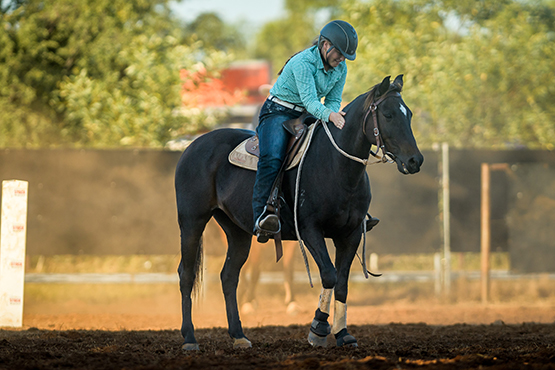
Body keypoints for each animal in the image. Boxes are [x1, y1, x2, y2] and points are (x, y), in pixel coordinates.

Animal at [176, 74, 424, 350]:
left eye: (409, 114)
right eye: (388, 115)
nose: (415, 160)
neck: (335, 165)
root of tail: (193, 145)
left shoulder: (350, 234)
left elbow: (342, 284)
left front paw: (343, 334)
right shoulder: (310, 230)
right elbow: (329, 275)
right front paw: (318, 328)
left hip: (236, 230)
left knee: (229, 276)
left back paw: (239, 335)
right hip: (192, 221)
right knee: (186, 274)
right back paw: (190, 338)